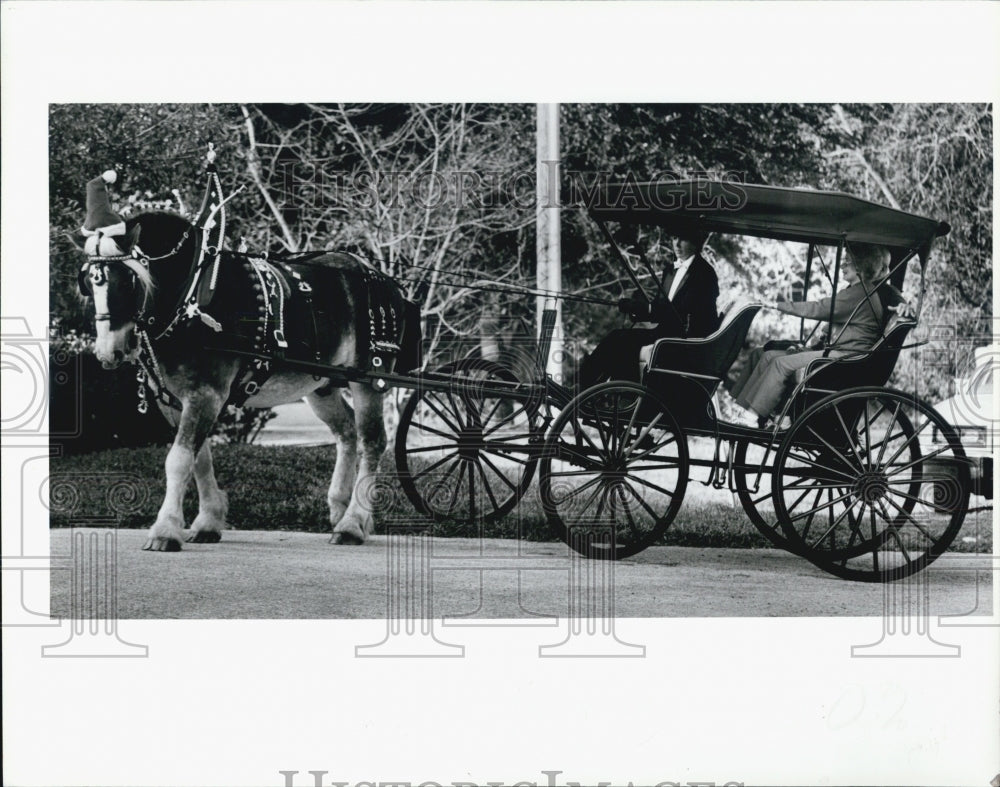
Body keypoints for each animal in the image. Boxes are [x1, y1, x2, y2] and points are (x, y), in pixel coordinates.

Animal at [80, 211, 420, 556]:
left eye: (129, 280)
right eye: (88, 283)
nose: (109, 352)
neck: (192, 296)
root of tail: (382, 278)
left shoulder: (206, 393)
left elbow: (178, 459)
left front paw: (165, 530)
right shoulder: (173, 401)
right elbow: (199, 458)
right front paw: (208, 521)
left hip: (370, 378)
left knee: (372, 441)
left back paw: (353, 522)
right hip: (322, 385)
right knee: (347, 432)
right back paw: (343, 511)